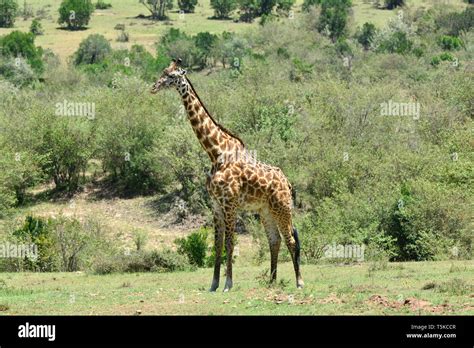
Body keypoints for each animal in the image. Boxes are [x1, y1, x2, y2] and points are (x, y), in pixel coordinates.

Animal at [151, 59, 304, 290]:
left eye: (171, 76)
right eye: (163, 72)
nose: (154, 87)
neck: (216, 153)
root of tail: (287, 183)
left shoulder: (230, 203)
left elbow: (230, 243)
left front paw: (228, 284)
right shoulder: (215, 204)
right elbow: (217, 244)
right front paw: (214, 284)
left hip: (282, 207)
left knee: (291, 240)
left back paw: (299, 282)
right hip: (265, 210)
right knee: (274, 240)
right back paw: (271, 281)